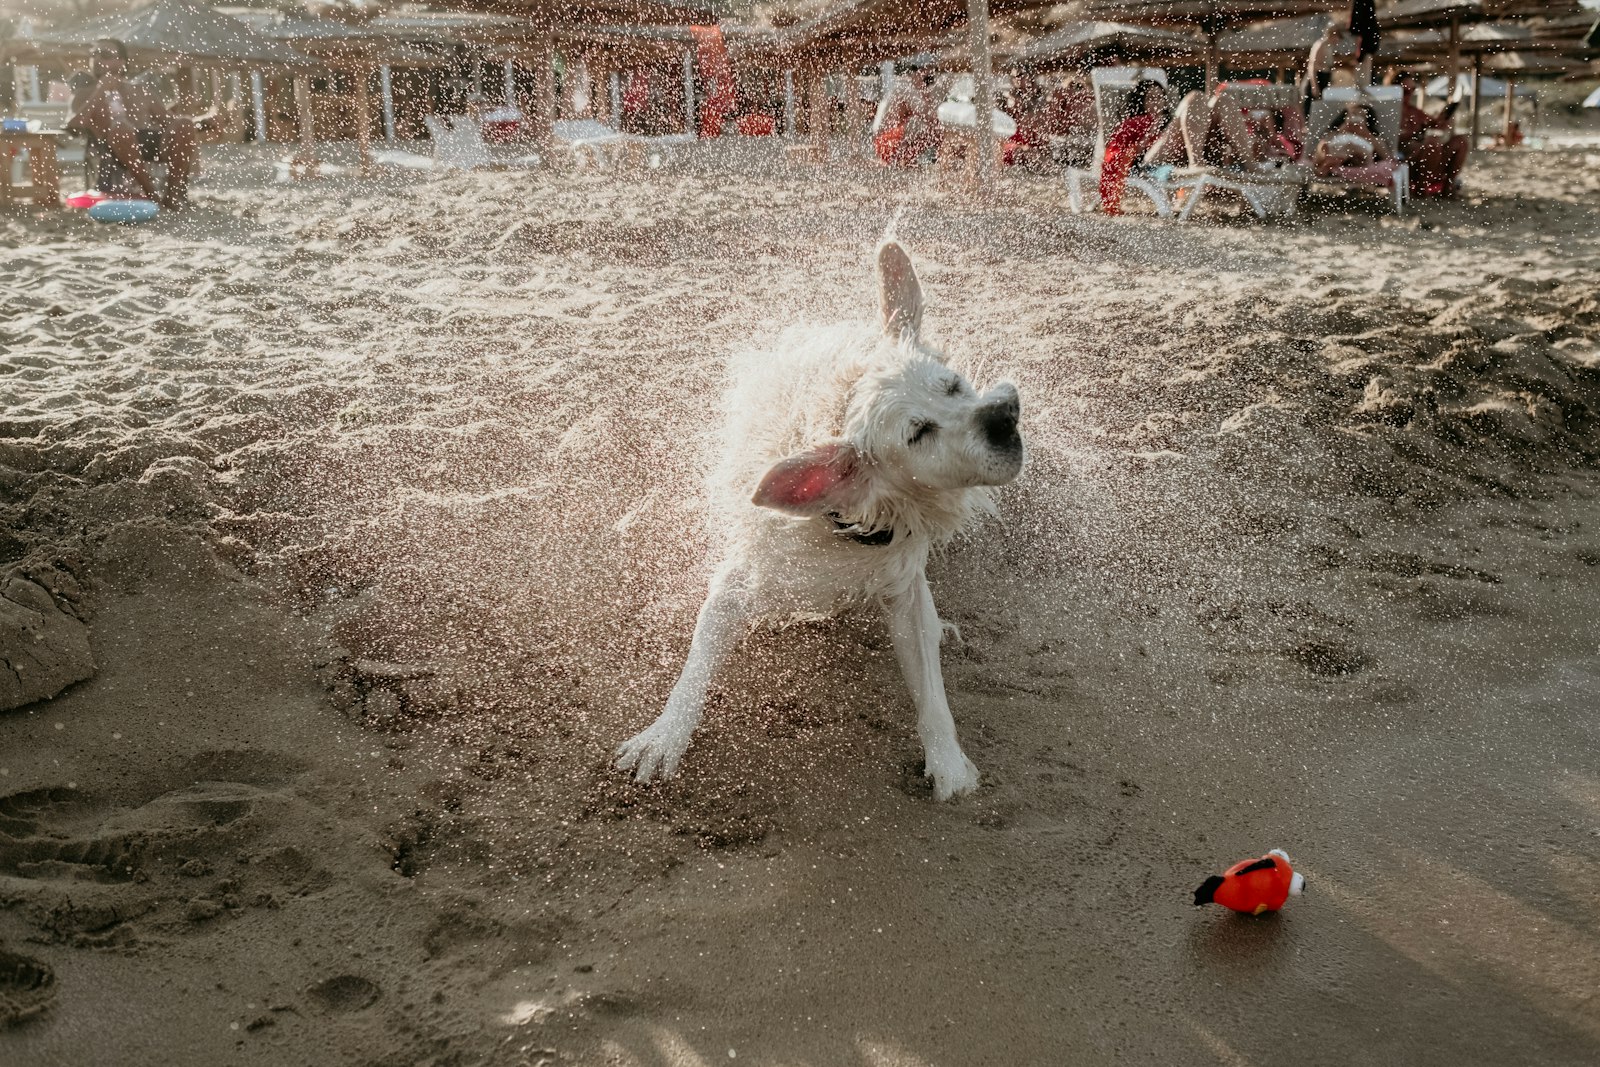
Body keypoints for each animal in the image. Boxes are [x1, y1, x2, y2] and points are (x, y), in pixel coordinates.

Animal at [614, 241, 1024, 799]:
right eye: (918, 433)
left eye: (954, 386)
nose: (1003, 415)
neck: (848, 519)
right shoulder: (742, 580)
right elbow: (698, 662)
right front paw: (664, 735)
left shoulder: (903, 584)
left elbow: (932, 688)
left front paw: (948, 762)